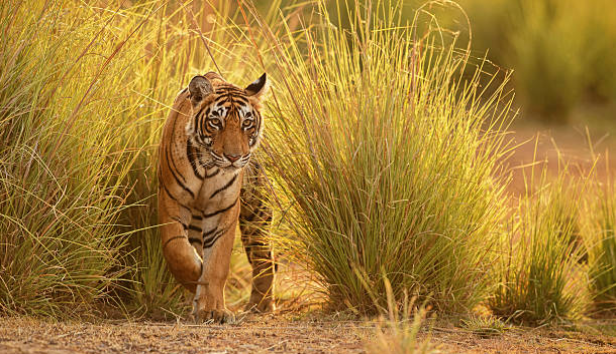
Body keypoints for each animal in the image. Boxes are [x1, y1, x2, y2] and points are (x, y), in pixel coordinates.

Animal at [159, 71, 274, 324]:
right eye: (215, 122)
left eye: (246, 123)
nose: (233, 157)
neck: (208, 167)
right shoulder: (173, 199)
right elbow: (177, 251)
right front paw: (197, 278)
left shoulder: (224, 207)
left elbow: (217, 262)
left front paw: (213, 310)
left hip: (257, 212)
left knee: (265, 258)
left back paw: (260, 305)